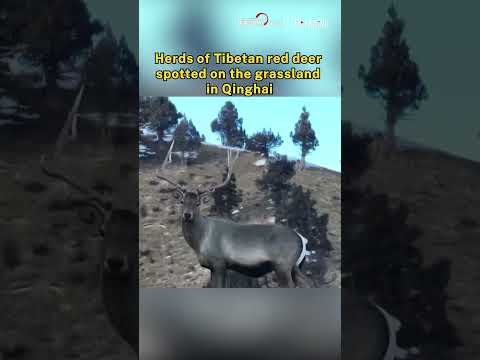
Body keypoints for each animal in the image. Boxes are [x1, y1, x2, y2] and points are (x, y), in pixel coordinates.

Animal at [156, 145, 316, 288]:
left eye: (198, 203)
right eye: (182, 201)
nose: (187, 215)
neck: (200, 242)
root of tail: (303, 239)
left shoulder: (219, 262)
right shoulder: (216, 267)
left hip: (283, 265)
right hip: (296, 266)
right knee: (309, 284)